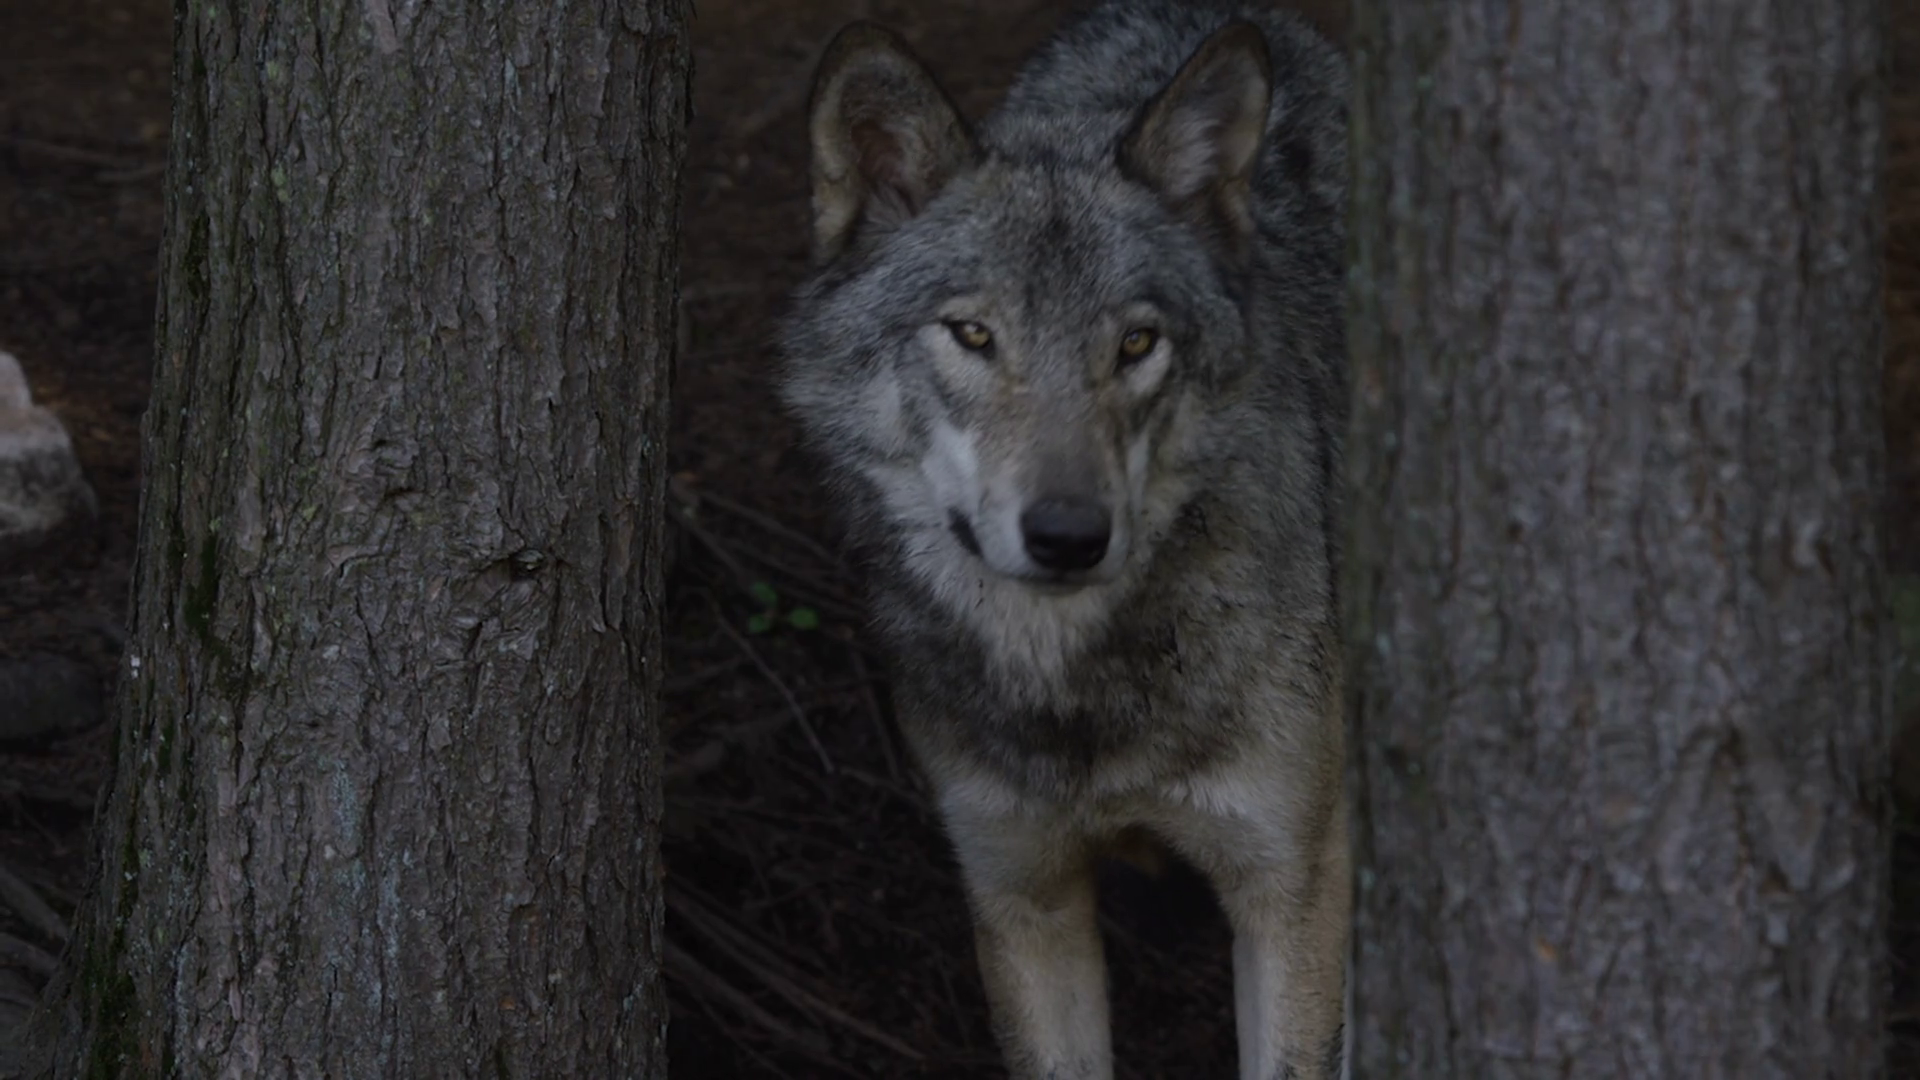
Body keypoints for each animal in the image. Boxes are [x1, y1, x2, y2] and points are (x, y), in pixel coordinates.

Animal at [777, 2, 1351, 1077]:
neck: (1077, 697)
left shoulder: (1293, 892)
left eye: (1135, 345)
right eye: (972, 335)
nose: (1069, 535)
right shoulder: (1019, 890)